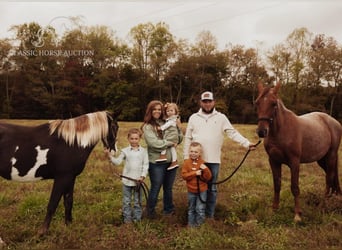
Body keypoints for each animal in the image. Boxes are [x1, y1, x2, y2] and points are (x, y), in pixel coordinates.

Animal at [255, 81, 340, 221]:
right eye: (257, 102)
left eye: (274, 104)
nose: (262, 131)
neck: (281, 130)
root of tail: (334, 122)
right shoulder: (273, 161)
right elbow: (277, 185)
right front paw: (274, 210)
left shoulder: (294, 162)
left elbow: (294, 187)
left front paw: (297, 215)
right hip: (322, 159)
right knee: (330, 177)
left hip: (331, 156)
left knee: (329, 178)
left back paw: (322, 206)